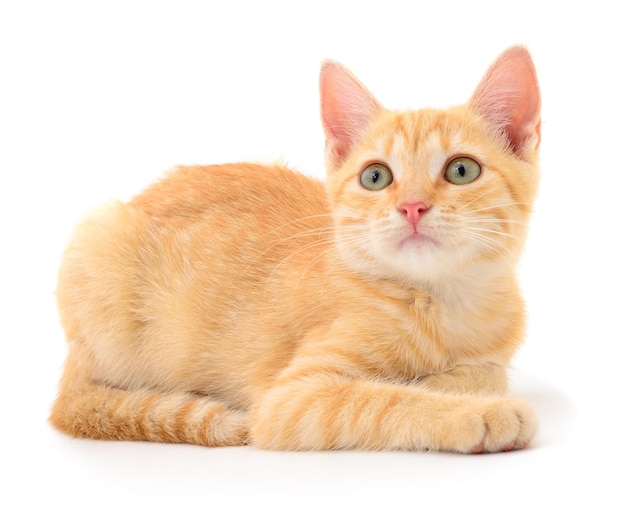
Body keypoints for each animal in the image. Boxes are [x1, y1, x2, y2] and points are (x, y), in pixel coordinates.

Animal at [51, 46, 540, 452]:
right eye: (376, 177)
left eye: (461, 170)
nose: (412, 207)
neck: (443, 303)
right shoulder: (290, 398)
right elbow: (385, 400)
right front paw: (472, 410)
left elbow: (487, 372)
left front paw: (447, 380)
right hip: (97, 237)